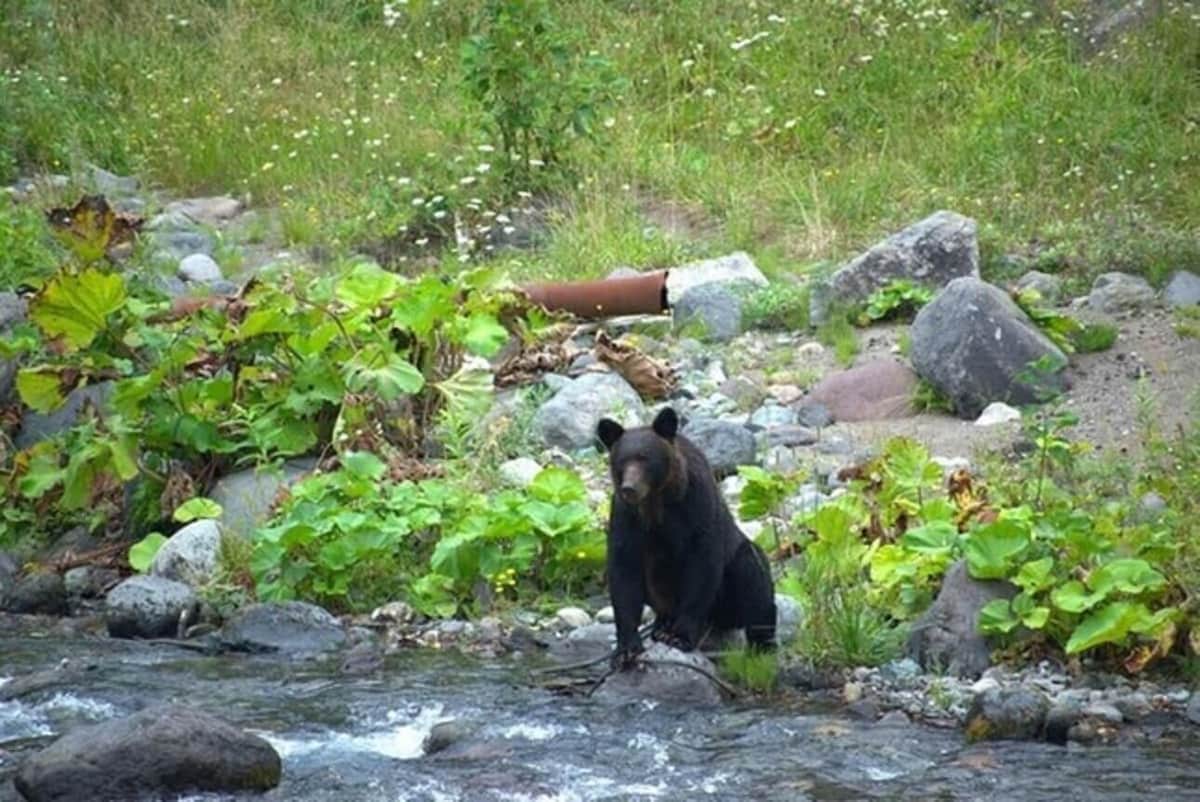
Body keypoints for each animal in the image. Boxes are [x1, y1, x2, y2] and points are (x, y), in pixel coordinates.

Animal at [592, 403, 777, 667]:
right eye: (621, 461)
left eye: (645, 458)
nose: (630, 488)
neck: (658, 503)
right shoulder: (627, 517)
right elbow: (624, 571)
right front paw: (626, 649)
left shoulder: (696, 508)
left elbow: (702, 566)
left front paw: (680, 636)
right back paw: (661, 625)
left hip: (733, 580)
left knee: (752, 575)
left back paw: (763, 643)